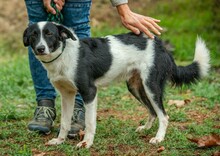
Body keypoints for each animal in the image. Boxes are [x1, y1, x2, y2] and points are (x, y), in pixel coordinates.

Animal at [22, 21, 210, 148]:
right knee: (152, 111)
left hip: (151, 85)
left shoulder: (89, 92)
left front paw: (87, 143)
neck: (62, 56)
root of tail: (160, 44)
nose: (40, 49)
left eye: (49, 34)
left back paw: (159, 138)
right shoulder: (66, 94)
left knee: (163, 115)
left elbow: (90, 122)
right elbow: (65, 122)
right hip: (135, 87)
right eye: (33, 35)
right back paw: (145, 128)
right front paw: (60, 140)